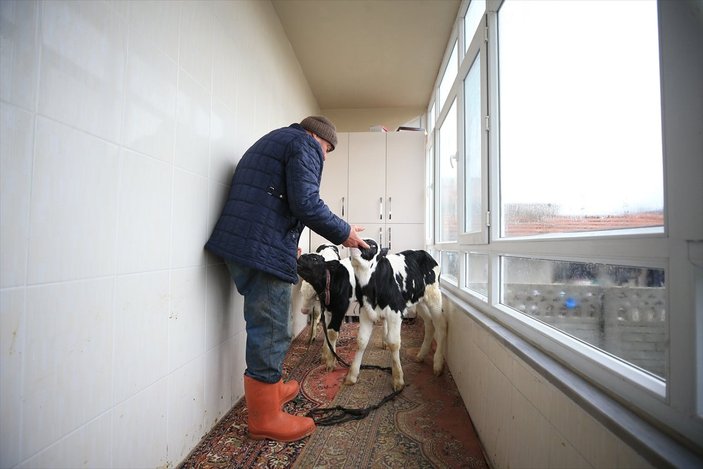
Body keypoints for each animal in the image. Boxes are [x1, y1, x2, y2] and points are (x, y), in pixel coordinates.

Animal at [348, 239, 446, 390]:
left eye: (373, 245)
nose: (356, 243)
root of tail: (425, 253)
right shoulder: (365, 311)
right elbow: (361, 341)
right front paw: (352, 375)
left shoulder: (395, 311)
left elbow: (393, 343)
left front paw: (398, 378)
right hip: (419, 301)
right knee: (429, 324)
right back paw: (421, 355)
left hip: (434, 295)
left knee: (440, 326)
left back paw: (438, 364)